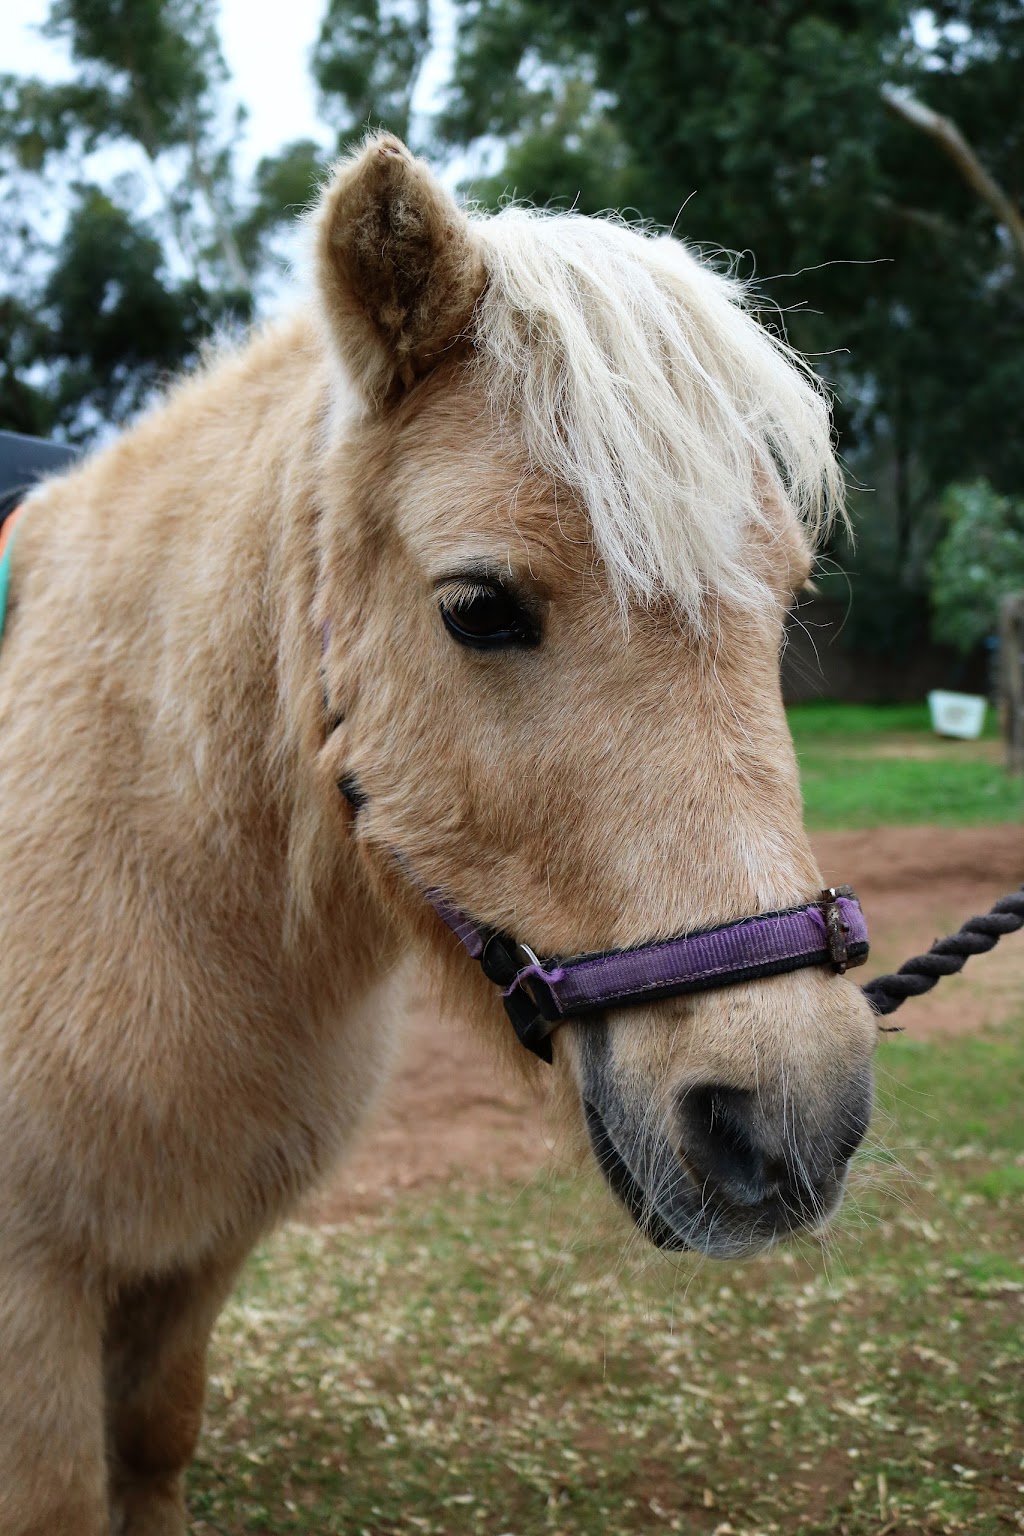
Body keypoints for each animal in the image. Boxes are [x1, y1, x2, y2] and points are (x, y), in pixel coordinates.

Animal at [2, 138, 872, 1529]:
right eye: (477, 606)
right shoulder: (33, 1288)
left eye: (785, 601)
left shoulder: (195, 1259)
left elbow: (155, 1438)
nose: (787, 1120)